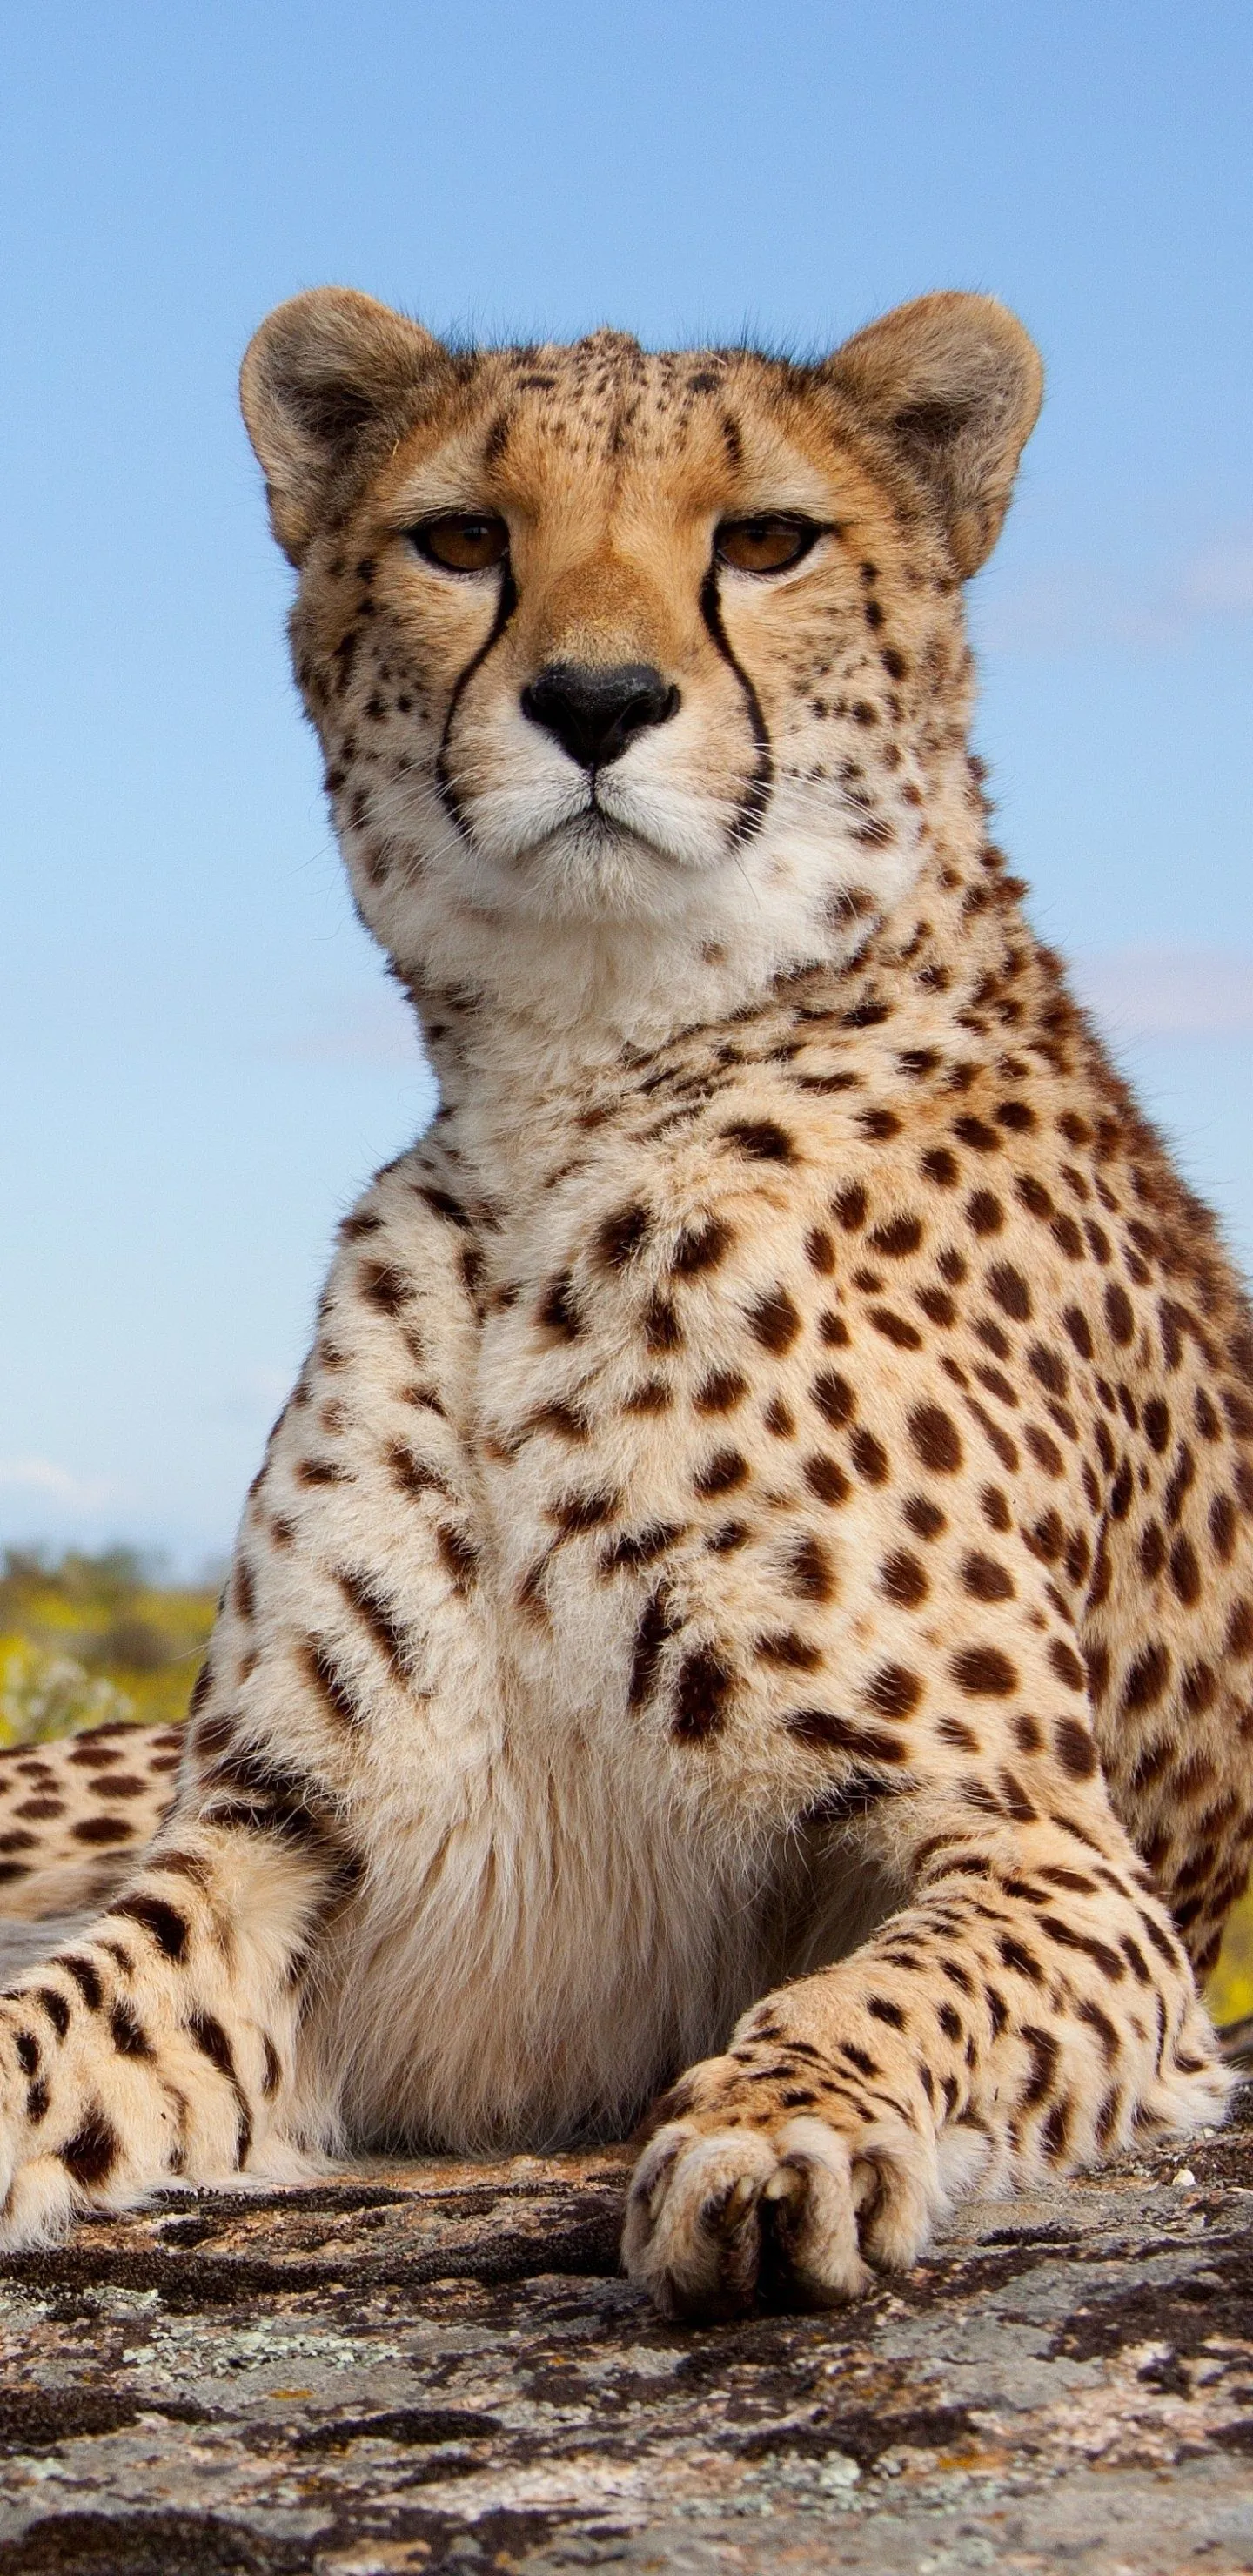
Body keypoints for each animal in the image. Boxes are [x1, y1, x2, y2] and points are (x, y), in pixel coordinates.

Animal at [2, 284, 1251, 2324]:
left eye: (766, 540)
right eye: (460, 541)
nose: (595, 703)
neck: (577, 1089)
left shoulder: (1049, 1857)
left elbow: (893, 1986)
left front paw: (780, 2129)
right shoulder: (272, 1849)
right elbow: (47, 2021)